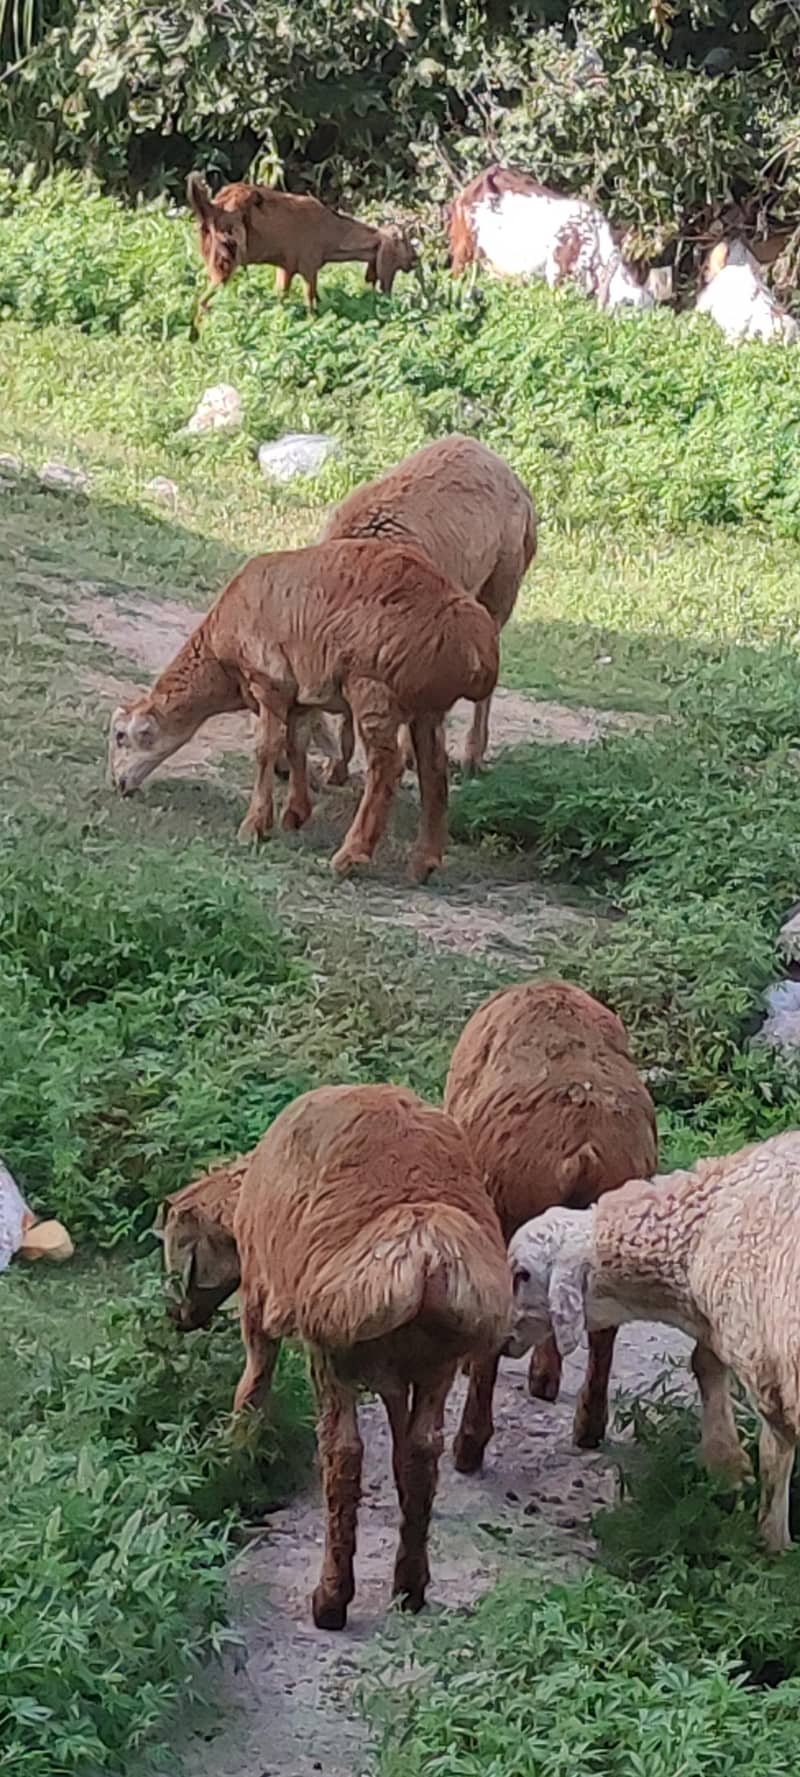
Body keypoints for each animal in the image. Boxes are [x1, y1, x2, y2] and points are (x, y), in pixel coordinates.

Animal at [107, 538, 498, 883]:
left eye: (121, 736)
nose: (118, 784)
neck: (220, 664)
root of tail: (478, 648)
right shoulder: (301, 697)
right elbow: (295, 745)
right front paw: (294, 814)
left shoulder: (268, 683)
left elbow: (266, 750)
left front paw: (253, 826)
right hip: (427, 708)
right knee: (434, 771)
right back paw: (423, 863)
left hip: (374, 688)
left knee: (386, 766)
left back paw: (350, 856)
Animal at [161, 1084, 512, 1627]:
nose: (175, 1315)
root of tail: (423, 1250)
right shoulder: (398, 1375)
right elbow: (402, 1452)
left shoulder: (259, 1302)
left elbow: (253, 1386)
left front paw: (233, 1455)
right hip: (436, 1361)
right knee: (421, 1452)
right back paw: (409, 1588)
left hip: (332, 1353)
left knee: (342, 1455)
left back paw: (331, 1600)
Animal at [187, 174, 418, 319]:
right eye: (404, 242)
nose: (416, 259)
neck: (331, 232)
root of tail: (212, 209)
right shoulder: (309, 265)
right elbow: (310, 301)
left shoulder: (286, 267)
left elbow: (282, 297)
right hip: (226, 259)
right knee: (204, 299)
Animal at [506, 1130, 800, 1552]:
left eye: (522, 1274)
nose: (503, 1340)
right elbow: (705, 1362)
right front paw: (728, 1466)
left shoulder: (764, 1361)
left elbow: (776, 1459)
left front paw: (772, 1544)